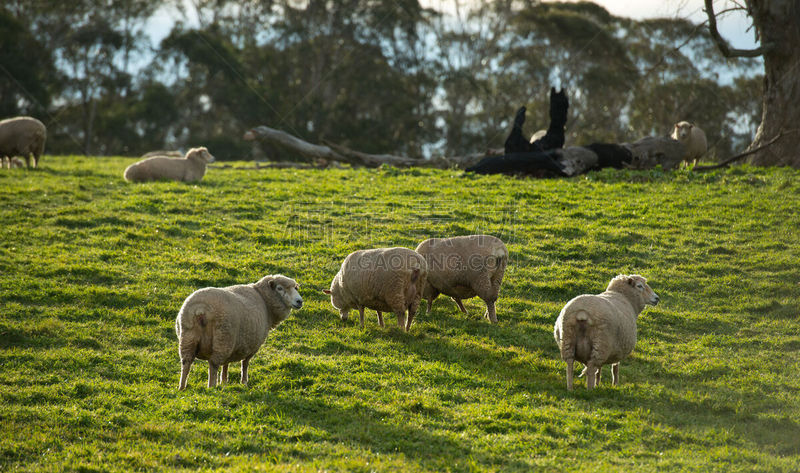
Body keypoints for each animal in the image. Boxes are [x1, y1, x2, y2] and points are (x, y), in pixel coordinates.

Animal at [175, 272, 304, 390]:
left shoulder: (233, 346)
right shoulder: (252, 346)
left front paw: (224, 381)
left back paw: (182, 387)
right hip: (223, 339)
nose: (299, 301)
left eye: (295, 288)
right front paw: (244, 382)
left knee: (186, 362)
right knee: (213, 364)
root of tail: (201, 310)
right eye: (279, 288)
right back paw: (211, 387)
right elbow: (245, 364)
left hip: (188, 338)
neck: (264, 299)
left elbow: (226, 364)